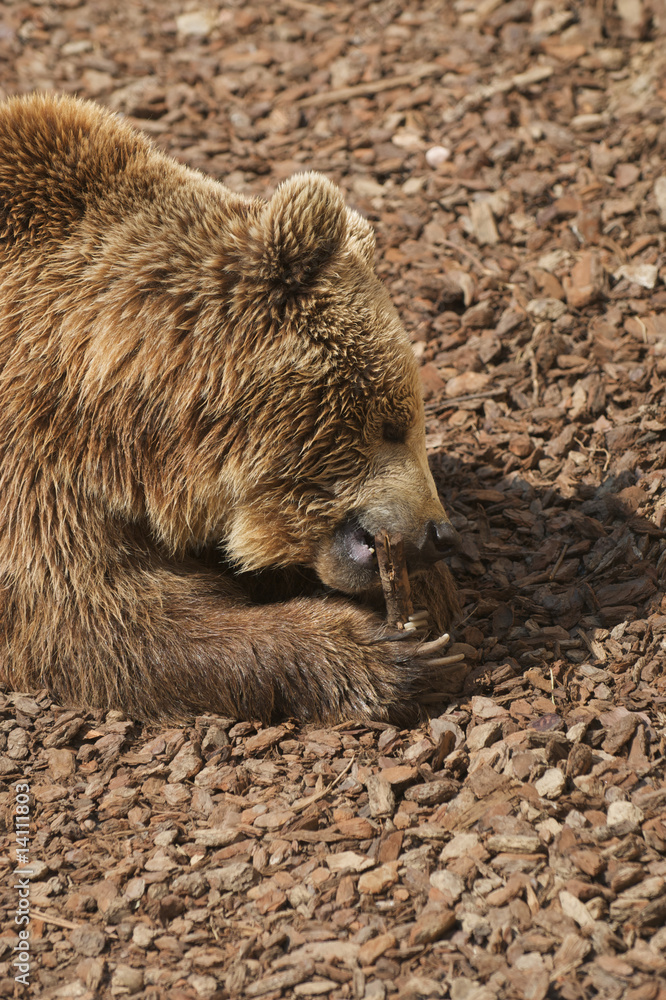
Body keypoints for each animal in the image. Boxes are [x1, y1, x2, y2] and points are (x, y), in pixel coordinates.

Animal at [0, 92, 460, 725]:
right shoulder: (35, 459)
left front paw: (430, 602)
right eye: (392, 423)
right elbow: (98, 615)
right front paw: (384, 650)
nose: (439, 533)